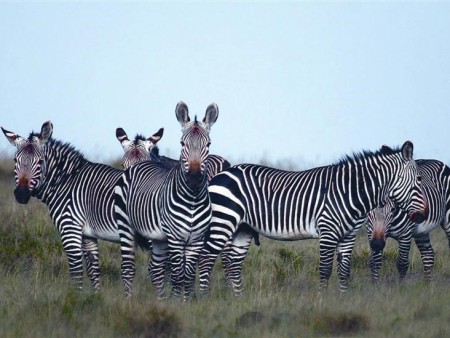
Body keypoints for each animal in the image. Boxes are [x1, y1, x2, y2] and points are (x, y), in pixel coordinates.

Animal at [0, 121, 149, 290]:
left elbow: (76, 272)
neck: (67, 181)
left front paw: (76, 295)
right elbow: (93, 271)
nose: (21, 194)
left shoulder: (69, 229)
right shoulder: (88, 235)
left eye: (40, 162)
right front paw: (95, 296)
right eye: (14, 160)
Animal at [114, 101, 220, 300]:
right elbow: (176, 274)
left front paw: (186, 301)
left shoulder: (195, 240)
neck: (192, 199)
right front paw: (176, 301)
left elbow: (187, 274)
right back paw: (131, 298)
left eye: (208, 144)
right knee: (131, 267)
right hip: (127, 227)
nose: (194, 178)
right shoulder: (174, 238)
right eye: (182, 143)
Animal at [198, 141, 428, 294]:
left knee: (233, 263)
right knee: (206, 258)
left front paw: (342, 300)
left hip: (242, 229)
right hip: (223, 221)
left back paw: (237, 298)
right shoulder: (328, 231)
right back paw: (204, 297)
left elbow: (344, 271)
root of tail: (220, 174)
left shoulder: (348, 236)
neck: (349, 192)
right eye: (418, 179)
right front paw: (322, 301)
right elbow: (325, 270)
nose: (424, 215)